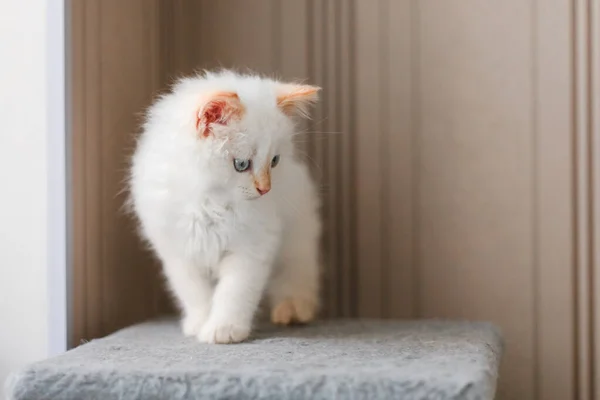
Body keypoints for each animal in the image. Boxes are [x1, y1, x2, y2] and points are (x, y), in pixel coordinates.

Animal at [129, 69, 322, 344]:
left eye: (274, 161)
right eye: (241, 164)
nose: (265, 189)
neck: (211, 202)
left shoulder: (252, 247)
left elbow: (235, 292)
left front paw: (224, 330)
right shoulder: (179, 251)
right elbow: (195, 294)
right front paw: (199, 324)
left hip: (297, 238)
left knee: (296, 274)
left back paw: (292, 310)